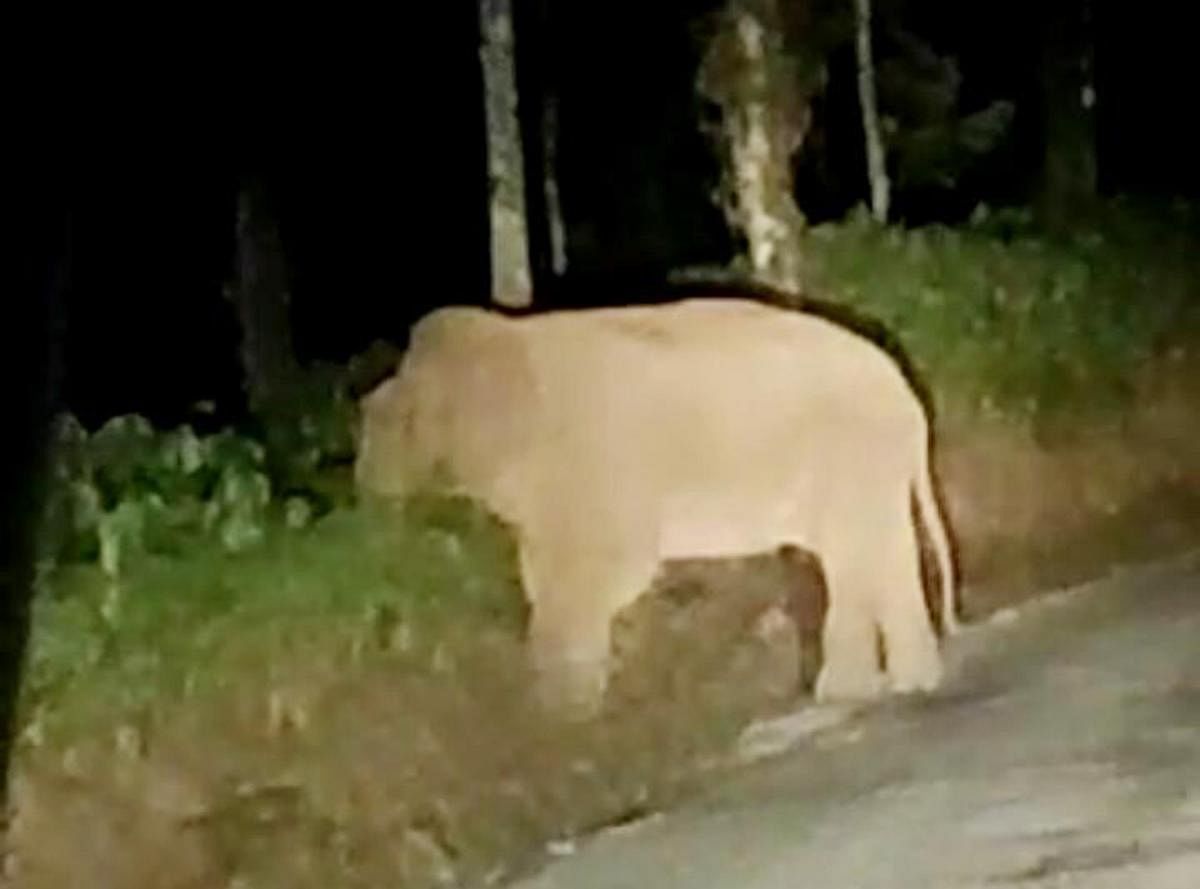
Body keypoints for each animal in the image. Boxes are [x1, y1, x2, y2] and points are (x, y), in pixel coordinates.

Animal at [355, 296, 955, 715]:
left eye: (394, 418)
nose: (361, 481)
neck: (508, 341)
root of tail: (906, 392)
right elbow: (540, 572)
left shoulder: (595, 465)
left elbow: (611, 567)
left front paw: (563, 717)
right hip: (864, 464)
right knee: (875, 551)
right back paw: (908, 684)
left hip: (850, 451)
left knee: (853, 556)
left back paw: (847, 693)